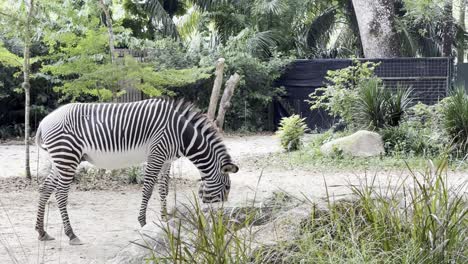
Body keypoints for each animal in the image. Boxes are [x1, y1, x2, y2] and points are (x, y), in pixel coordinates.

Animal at [34, 98, 238, 245]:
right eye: (227, 187)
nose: (219, 218)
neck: (182, 134)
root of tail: (44, 122)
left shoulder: (166, 160)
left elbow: (163, 190)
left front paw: (165, 218)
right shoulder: (156, 154)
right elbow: (147, 190)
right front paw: (143, 222)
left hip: (60, 160)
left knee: (45, 189)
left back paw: (42, 232)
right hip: (67, 157)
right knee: (60, 194)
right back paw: (71, 234)